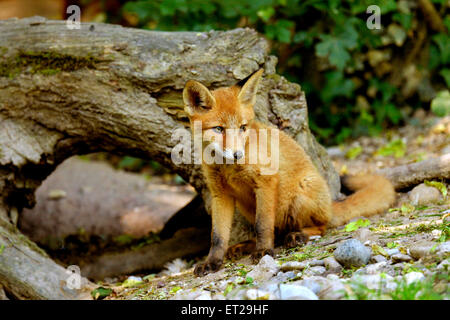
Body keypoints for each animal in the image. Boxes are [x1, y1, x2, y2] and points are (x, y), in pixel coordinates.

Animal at [181, 69, 396, 276]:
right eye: (218, 129)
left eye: (243, 127)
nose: (237, 154)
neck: (228, 168)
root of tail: (330, 205)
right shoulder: (220, 194)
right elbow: (217, 237)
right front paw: (212, 262)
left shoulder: (266, 182)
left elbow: (262, 225)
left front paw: (263, 252)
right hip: (246, 205)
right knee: (276, 232)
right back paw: (247, 245)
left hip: (299, 196)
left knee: (321, 226)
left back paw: (298, 235)